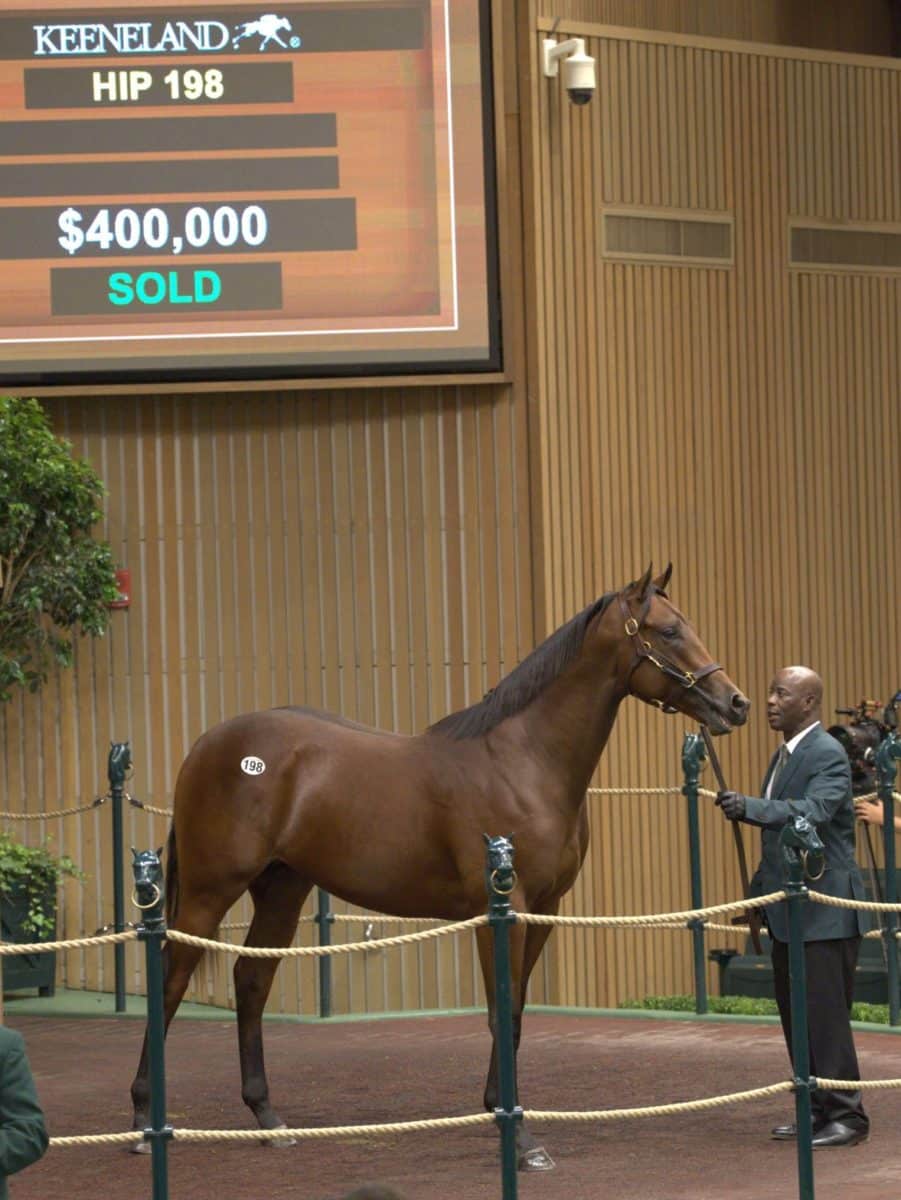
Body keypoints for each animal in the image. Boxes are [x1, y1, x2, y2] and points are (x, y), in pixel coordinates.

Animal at [127, 566, 748, 1166]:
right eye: (670, 631)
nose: (735, 703)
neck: (524, 761)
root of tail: (207, 745)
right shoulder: (502, 909)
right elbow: (502, 1011)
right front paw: (518, 1136)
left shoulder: (544, 910)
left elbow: (517, 1012)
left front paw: (505, 1114)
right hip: (209, 891)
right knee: (171, 980)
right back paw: (143, 1122)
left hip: (281, 889)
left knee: (251, 982)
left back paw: (267, 1119)